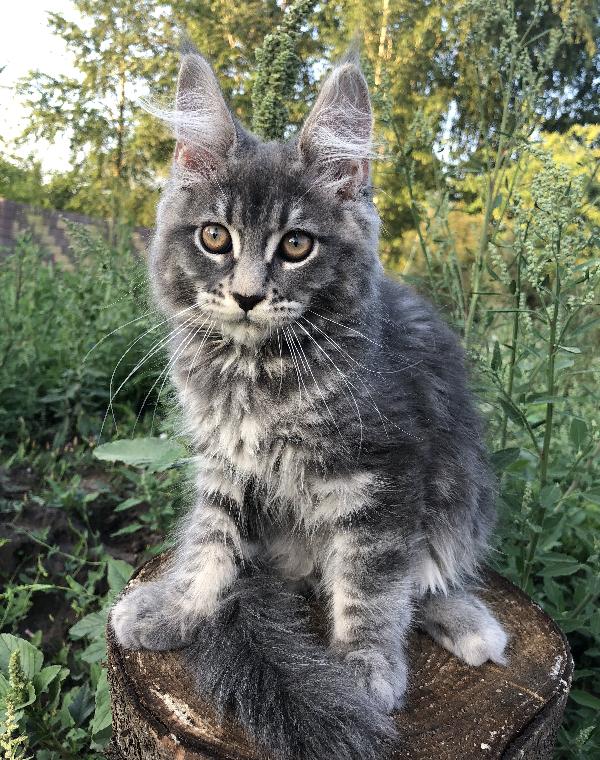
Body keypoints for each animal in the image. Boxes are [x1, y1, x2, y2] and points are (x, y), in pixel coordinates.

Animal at [111, 49, 506, 760]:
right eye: (215, 238)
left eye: (297, 245)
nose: (246, 296)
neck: (257, 371)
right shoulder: (224, 459)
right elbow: (209, 540)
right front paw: (181, 607)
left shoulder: (384, 471)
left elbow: (374, 580)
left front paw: (362, 671)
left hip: (463, 495)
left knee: (429, 571)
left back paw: (468, 622)